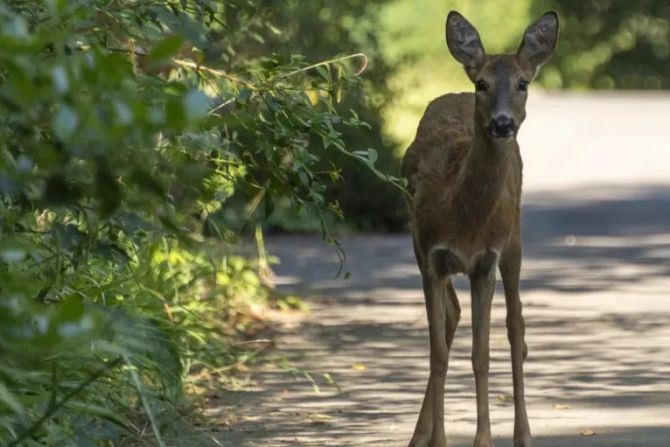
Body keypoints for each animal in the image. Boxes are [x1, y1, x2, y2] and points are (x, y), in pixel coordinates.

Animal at [400, 11, 559, 447]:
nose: (502, 124)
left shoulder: (485, 261)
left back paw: (523, 434)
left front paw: (483, 440)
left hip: (514, 239)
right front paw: (437, 439)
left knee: (517, 326)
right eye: (482, 84)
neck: (464, 220)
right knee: (453, 317)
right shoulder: (430, 254)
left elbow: (481, 354)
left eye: (523, 83)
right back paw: (419, 435)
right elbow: (438, 353)